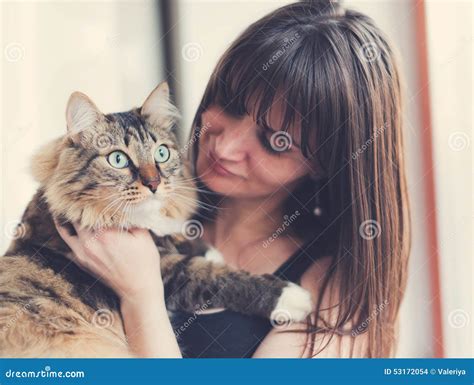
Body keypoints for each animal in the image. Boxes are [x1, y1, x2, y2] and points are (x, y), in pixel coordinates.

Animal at [0, 82, 312, 356]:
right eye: (118, 159)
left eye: (161, 153)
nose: (154, 183)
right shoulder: (165, 272)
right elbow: (214, 276)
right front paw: (294, 297)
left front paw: (208, 249)